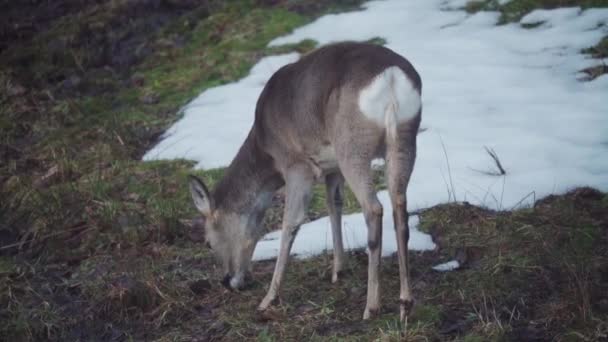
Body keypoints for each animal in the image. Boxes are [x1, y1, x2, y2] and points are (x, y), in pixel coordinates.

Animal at [188, 41, 420, 320]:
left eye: (208, 243)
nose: (228, 281)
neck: (266, 150)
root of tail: (391, 78)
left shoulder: (297, 165)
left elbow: (291, 223)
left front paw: (269, 298)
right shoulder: (331, 168)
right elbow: (334, 205)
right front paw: (338, 270)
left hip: (352, 147)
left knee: (374, 208)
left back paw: (371, 306)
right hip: (404, 139)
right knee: (399, 206)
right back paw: (405, 302)